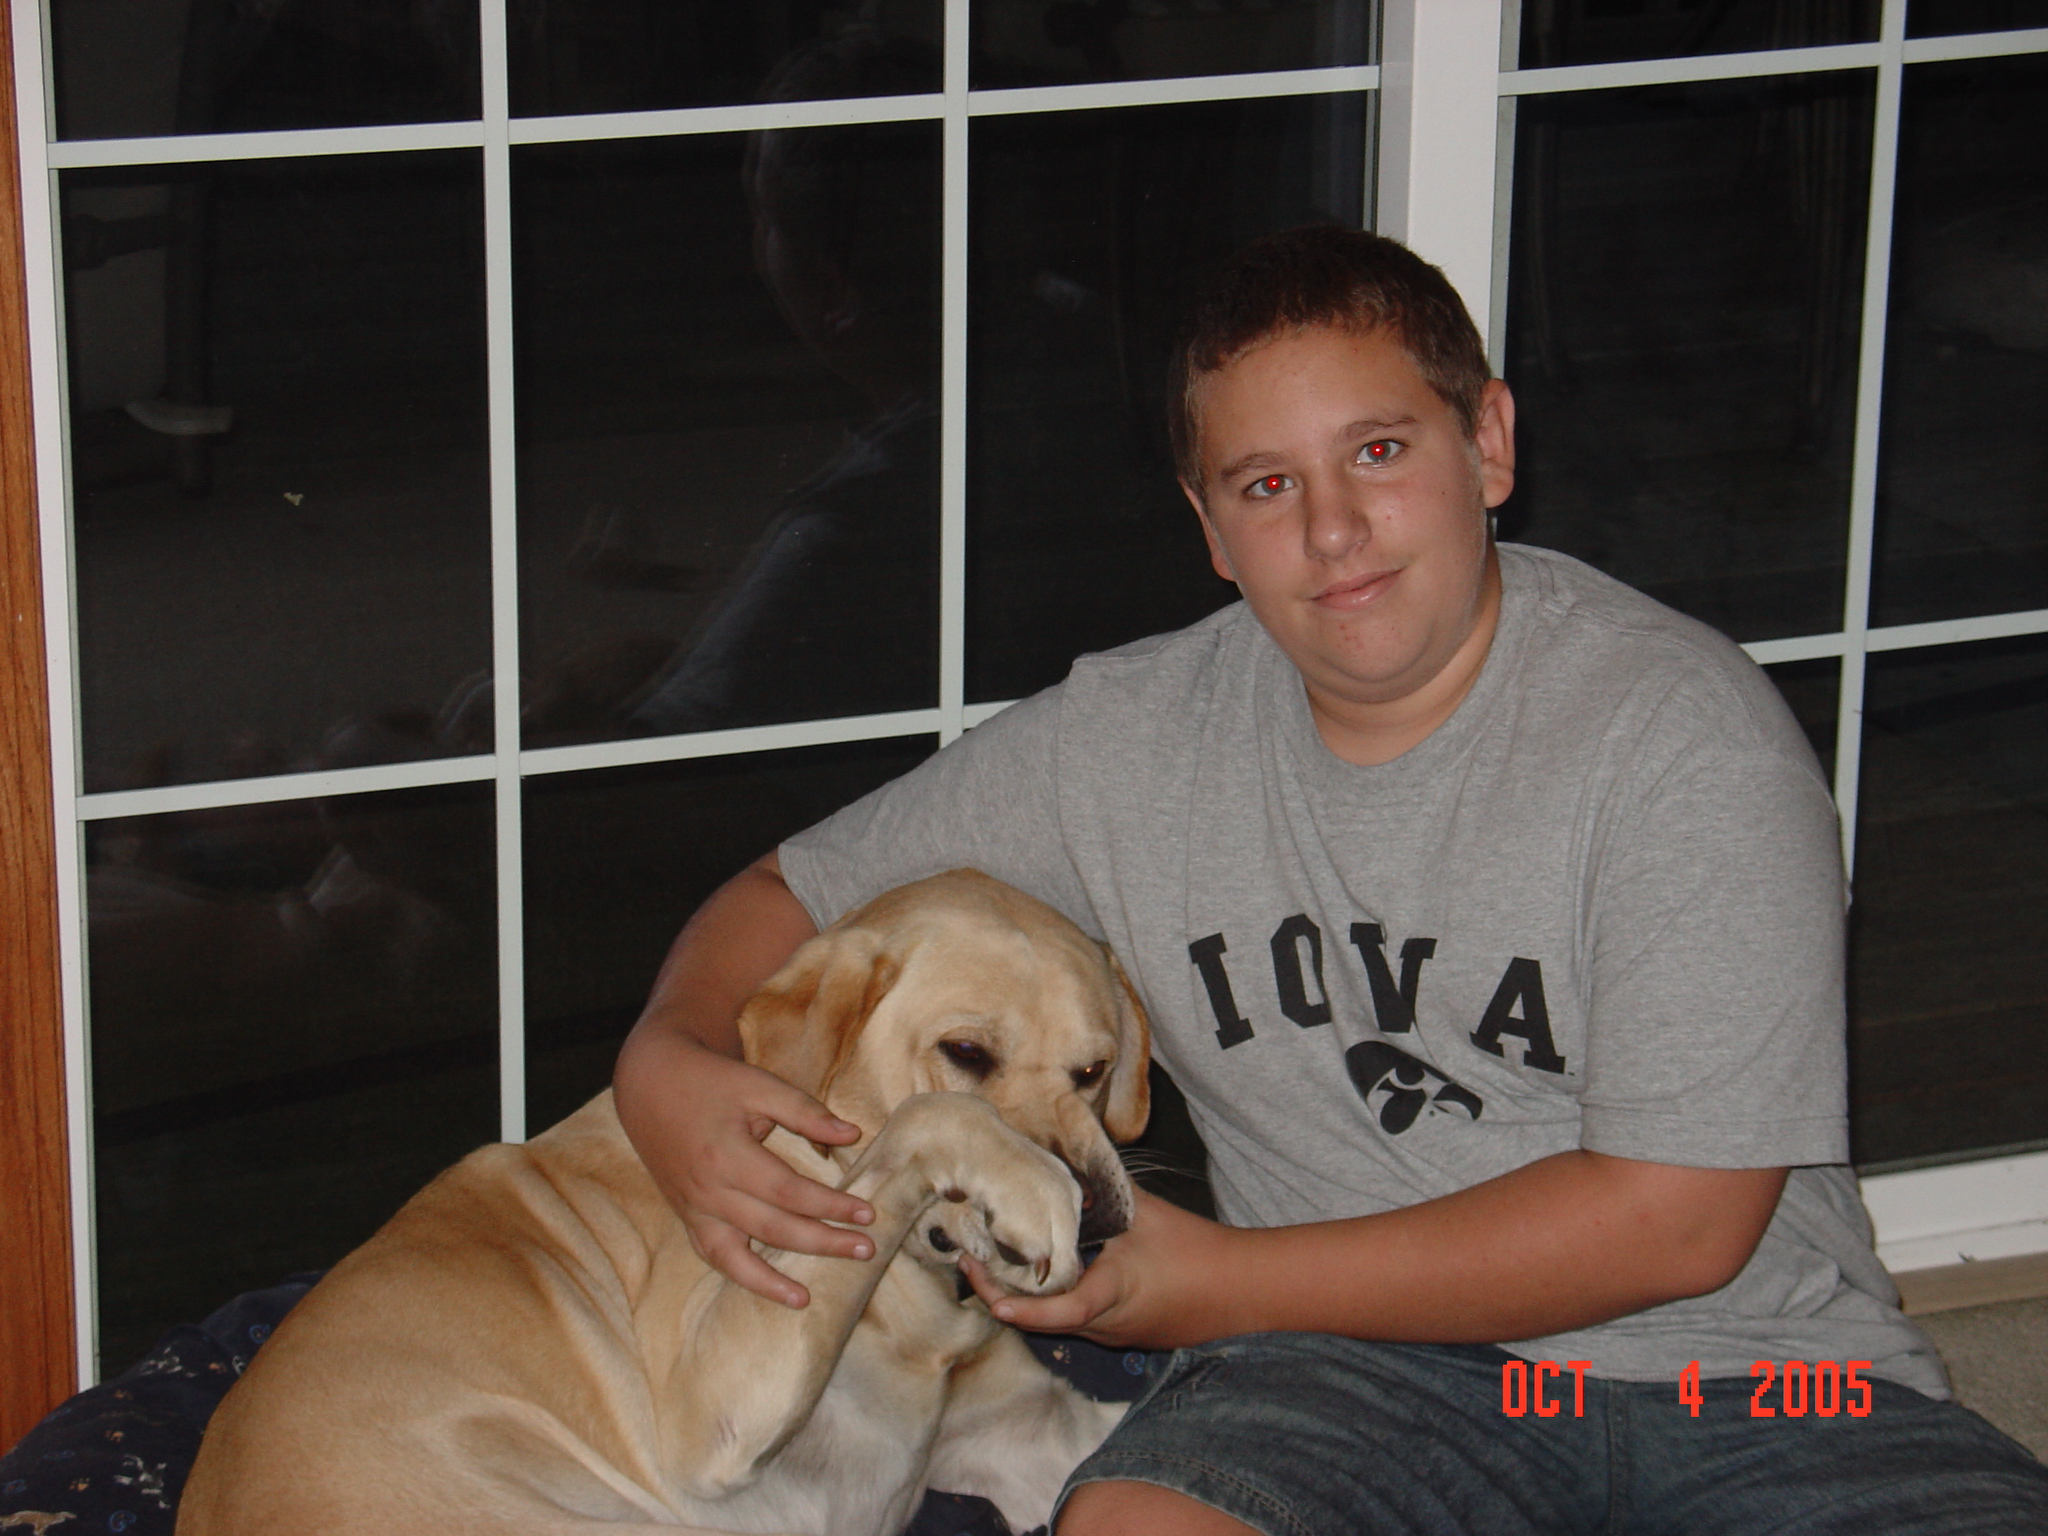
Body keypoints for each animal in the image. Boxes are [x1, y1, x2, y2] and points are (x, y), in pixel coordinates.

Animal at [176, 869, 1151, 1536]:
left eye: (1095, 1070)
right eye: (966, 1053)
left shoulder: (1039, 1436)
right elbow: (924, 1118)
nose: (1103, 1221)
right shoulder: (713, 1409)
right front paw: (1028, 1185)